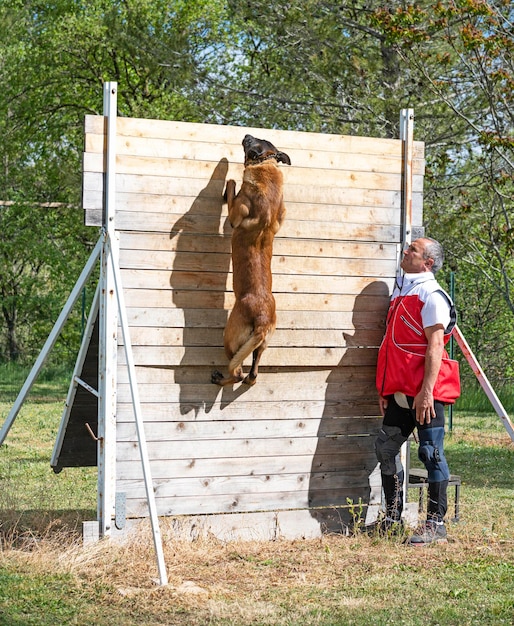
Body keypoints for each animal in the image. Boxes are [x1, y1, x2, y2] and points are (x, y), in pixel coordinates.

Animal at [210, 134, 290, 382]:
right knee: (253, 373)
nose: (246, 135)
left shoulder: (236, 213)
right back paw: (246, 378)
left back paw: (220, 378)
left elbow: (232, 187)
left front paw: (229, 186)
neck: (266, 164)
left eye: (253, 141)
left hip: (230, 337)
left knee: (236, 370)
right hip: (261, 344)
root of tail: (262, 322)